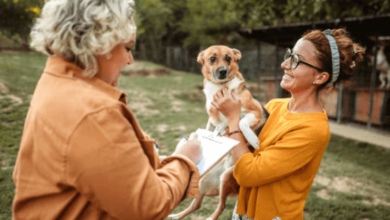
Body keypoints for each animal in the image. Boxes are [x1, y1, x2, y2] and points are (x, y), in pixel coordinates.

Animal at [168, 45, 268, 219]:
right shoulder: (211, 119)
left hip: (226, 178)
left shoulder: (256, 111)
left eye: (228, 58)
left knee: (221, 206)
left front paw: (253, 139)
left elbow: (241, 122)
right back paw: (176, 215)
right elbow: (210, 128)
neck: (221, 88)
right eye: (212, 58)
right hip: (202, 180)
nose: (223, 71)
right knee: (196, 204)